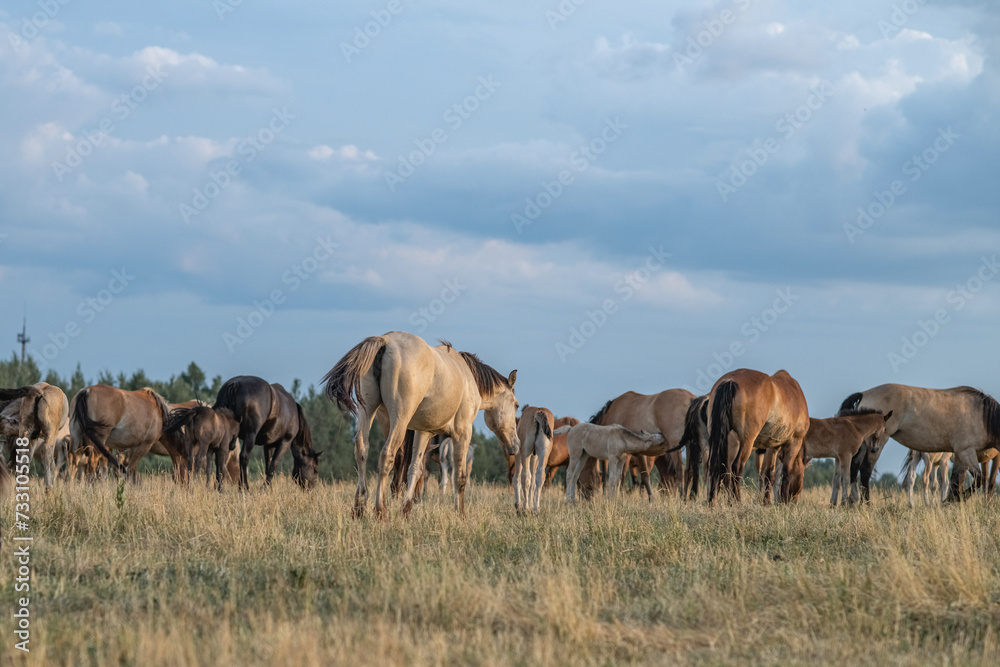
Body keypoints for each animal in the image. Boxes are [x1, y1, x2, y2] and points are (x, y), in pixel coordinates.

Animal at [324, 332, 520, 520]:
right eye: (517, 405)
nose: (516, 445)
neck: (468, 378)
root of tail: (385, 341)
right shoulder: (462, 432)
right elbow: (460, 477)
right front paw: (461, 514)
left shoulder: (423, 432)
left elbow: (415, 469)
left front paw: (405, 511)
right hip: (400, 420)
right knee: (387, 455)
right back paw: (381, 511)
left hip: (367, 410)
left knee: (362, 450)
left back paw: (359, 508)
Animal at [708, 368, 808, 504]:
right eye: (802, 475)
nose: (794, 501)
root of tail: (730, 380)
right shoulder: (794, 442)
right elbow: (786, 473)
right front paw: (784, 502)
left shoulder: (773, 446)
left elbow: (769, 474)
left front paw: (766, 502)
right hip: (746, 442)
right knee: (736, 467)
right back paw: (736, 502)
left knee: (717, 466)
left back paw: (712, 502)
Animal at [836, 384, 1000, 504]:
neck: (982, 415)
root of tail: (865, 394)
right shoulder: (966, 452)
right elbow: (979, 480)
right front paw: (955, 500)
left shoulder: (960, 455)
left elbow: (956, 481)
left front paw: (951, 501)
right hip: (877, 443)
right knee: (865, 470)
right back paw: (867, 503)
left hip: (864, 444)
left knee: (854, 468)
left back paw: (853, 501)